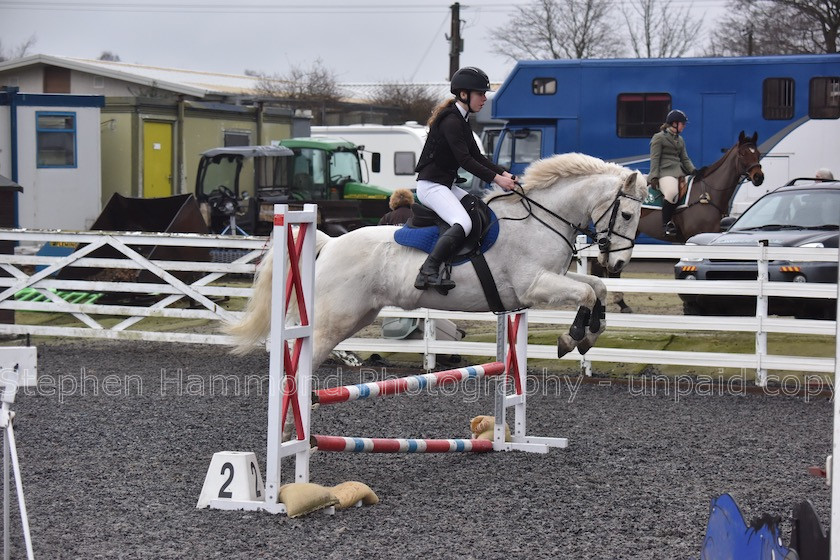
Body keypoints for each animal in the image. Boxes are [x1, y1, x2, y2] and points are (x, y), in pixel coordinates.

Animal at [230, 151, 648, 366]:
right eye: (628, 215)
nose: (619, 264)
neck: (540, 217)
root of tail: (331, 243)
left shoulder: (554, 278)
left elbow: (596, 287)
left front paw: (591, 334)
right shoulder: (535, 286)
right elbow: (588, 294)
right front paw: (571, 337)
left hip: (358, 315)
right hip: (336, 318)